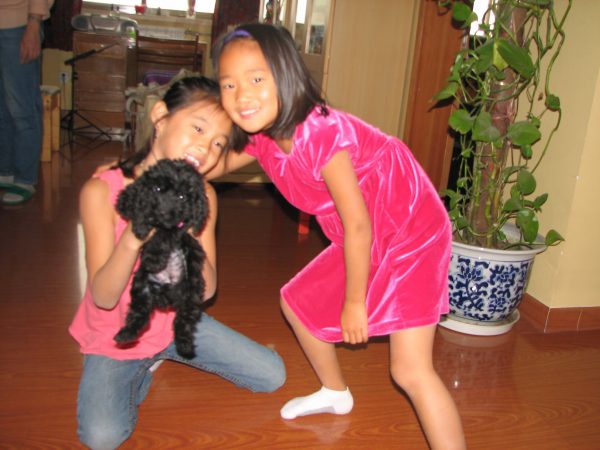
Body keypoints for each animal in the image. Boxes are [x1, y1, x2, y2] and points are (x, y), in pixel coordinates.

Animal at [114, 158, 209, 358]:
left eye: (182, 197)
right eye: (157, 188)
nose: (162, 211)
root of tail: (166, 294)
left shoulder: (178, 227)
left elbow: (164, 234)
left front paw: (154, 257)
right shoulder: (133, 196)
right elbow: (133, 200)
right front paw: (142, 223)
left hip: (191, 293)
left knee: (183, 321)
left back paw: (185, 346)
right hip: (141, 286)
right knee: (139, 313)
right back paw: (126, 334)